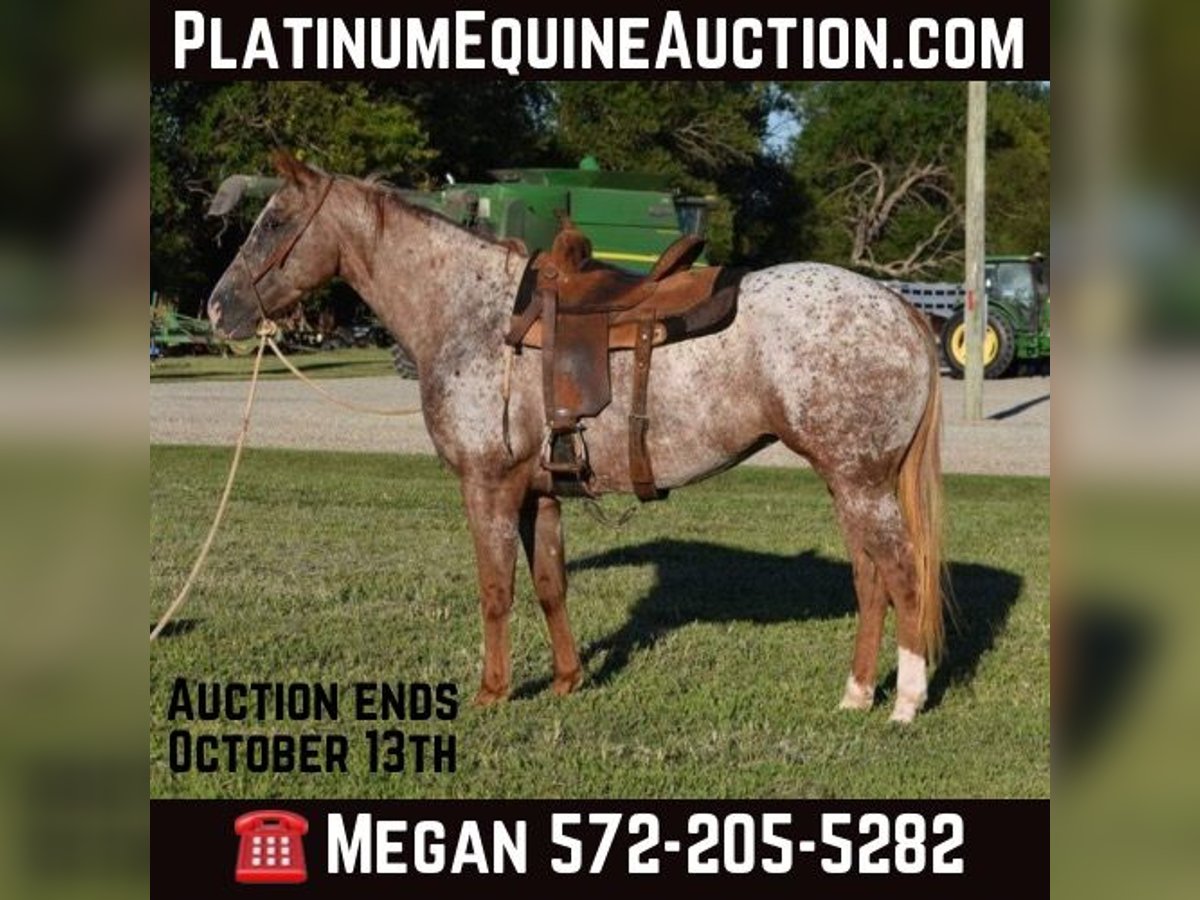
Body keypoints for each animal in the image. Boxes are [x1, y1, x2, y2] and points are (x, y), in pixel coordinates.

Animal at [207, 152, 945, 723]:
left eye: (275, 221)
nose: (218, 307)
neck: (475, 315)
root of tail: (900, 307)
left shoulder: (488, 486)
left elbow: (496, 590)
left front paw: (492, 692)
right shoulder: (540, 493)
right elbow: (549, 584)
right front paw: (567, 681)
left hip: (862, 482)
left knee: (902, 575)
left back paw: (906, 703)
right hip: (850, 484)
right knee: (870, 581)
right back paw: (856, 694)